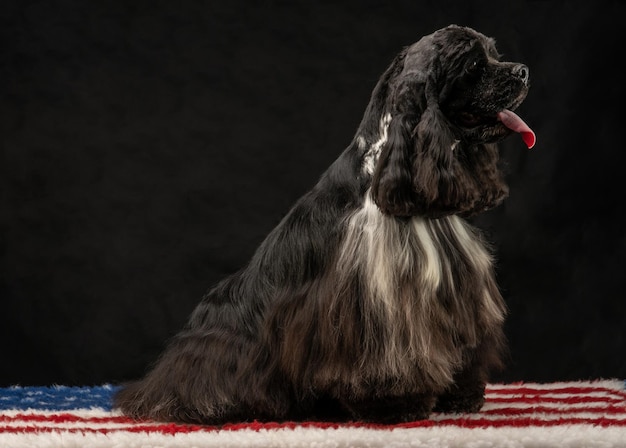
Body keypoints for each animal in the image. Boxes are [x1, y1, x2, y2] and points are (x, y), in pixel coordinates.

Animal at [112, 24, 532, 424]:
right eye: (474, 65)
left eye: (494, 53)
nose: (523, 71)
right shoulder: (374, 301)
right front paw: (395, 404)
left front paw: (461, 395)